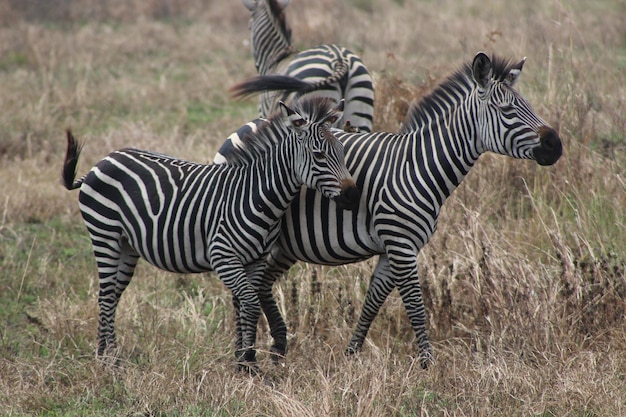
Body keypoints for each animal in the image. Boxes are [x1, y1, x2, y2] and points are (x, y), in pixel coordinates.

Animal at [62, 95, 360, 368]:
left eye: (342, 152)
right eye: (319, 155)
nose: (353, 196)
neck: (257, 195)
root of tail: (102, 161)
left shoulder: (255, 260)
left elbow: (246, 305)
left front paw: (244, 361)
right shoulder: (223, 256)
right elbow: (250, 303)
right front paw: (248, 360)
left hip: (126, 245)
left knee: (113, 294)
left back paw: (108, 354)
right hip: (105, 235)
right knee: (105, 294)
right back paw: (108, 361)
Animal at [213, 51, 560, 368]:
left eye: (529, 106)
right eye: (507, 110)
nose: (555, 146)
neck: (417, 167)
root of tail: (245, 127)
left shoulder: (394, 248)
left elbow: (373, 301)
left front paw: (351, 355)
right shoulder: (401, 244)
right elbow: (416, 305)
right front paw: (428, 365)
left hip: (282, 245)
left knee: (259, 285)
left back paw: (275, 347)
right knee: (242, 291)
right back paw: (244, 356)